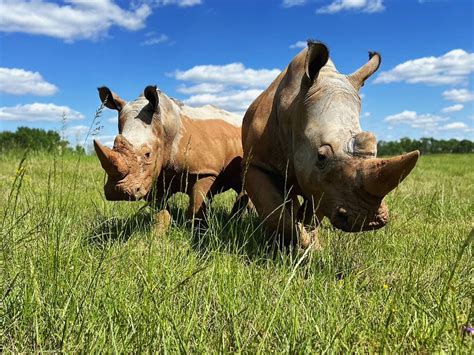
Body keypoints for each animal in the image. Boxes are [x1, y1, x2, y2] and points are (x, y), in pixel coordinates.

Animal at [94, 85, 246, 221]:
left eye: (147, 154)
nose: (118, 192)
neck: (164, 124)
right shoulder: (156, 174)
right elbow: (161, 212)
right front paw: (158, 233)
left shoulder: (204, 171)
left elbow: (195, 208)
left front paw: (197, 231)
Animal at [243, 41, 420, 248]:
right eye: (321, 156)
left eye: (375, 150)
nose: (369, 222)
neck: (294, 104)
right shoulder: (256, 163)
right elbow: (275, 213)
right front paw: (298, 241)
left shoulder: (322, 185)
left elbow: (314, 215)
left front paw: (312, 245)